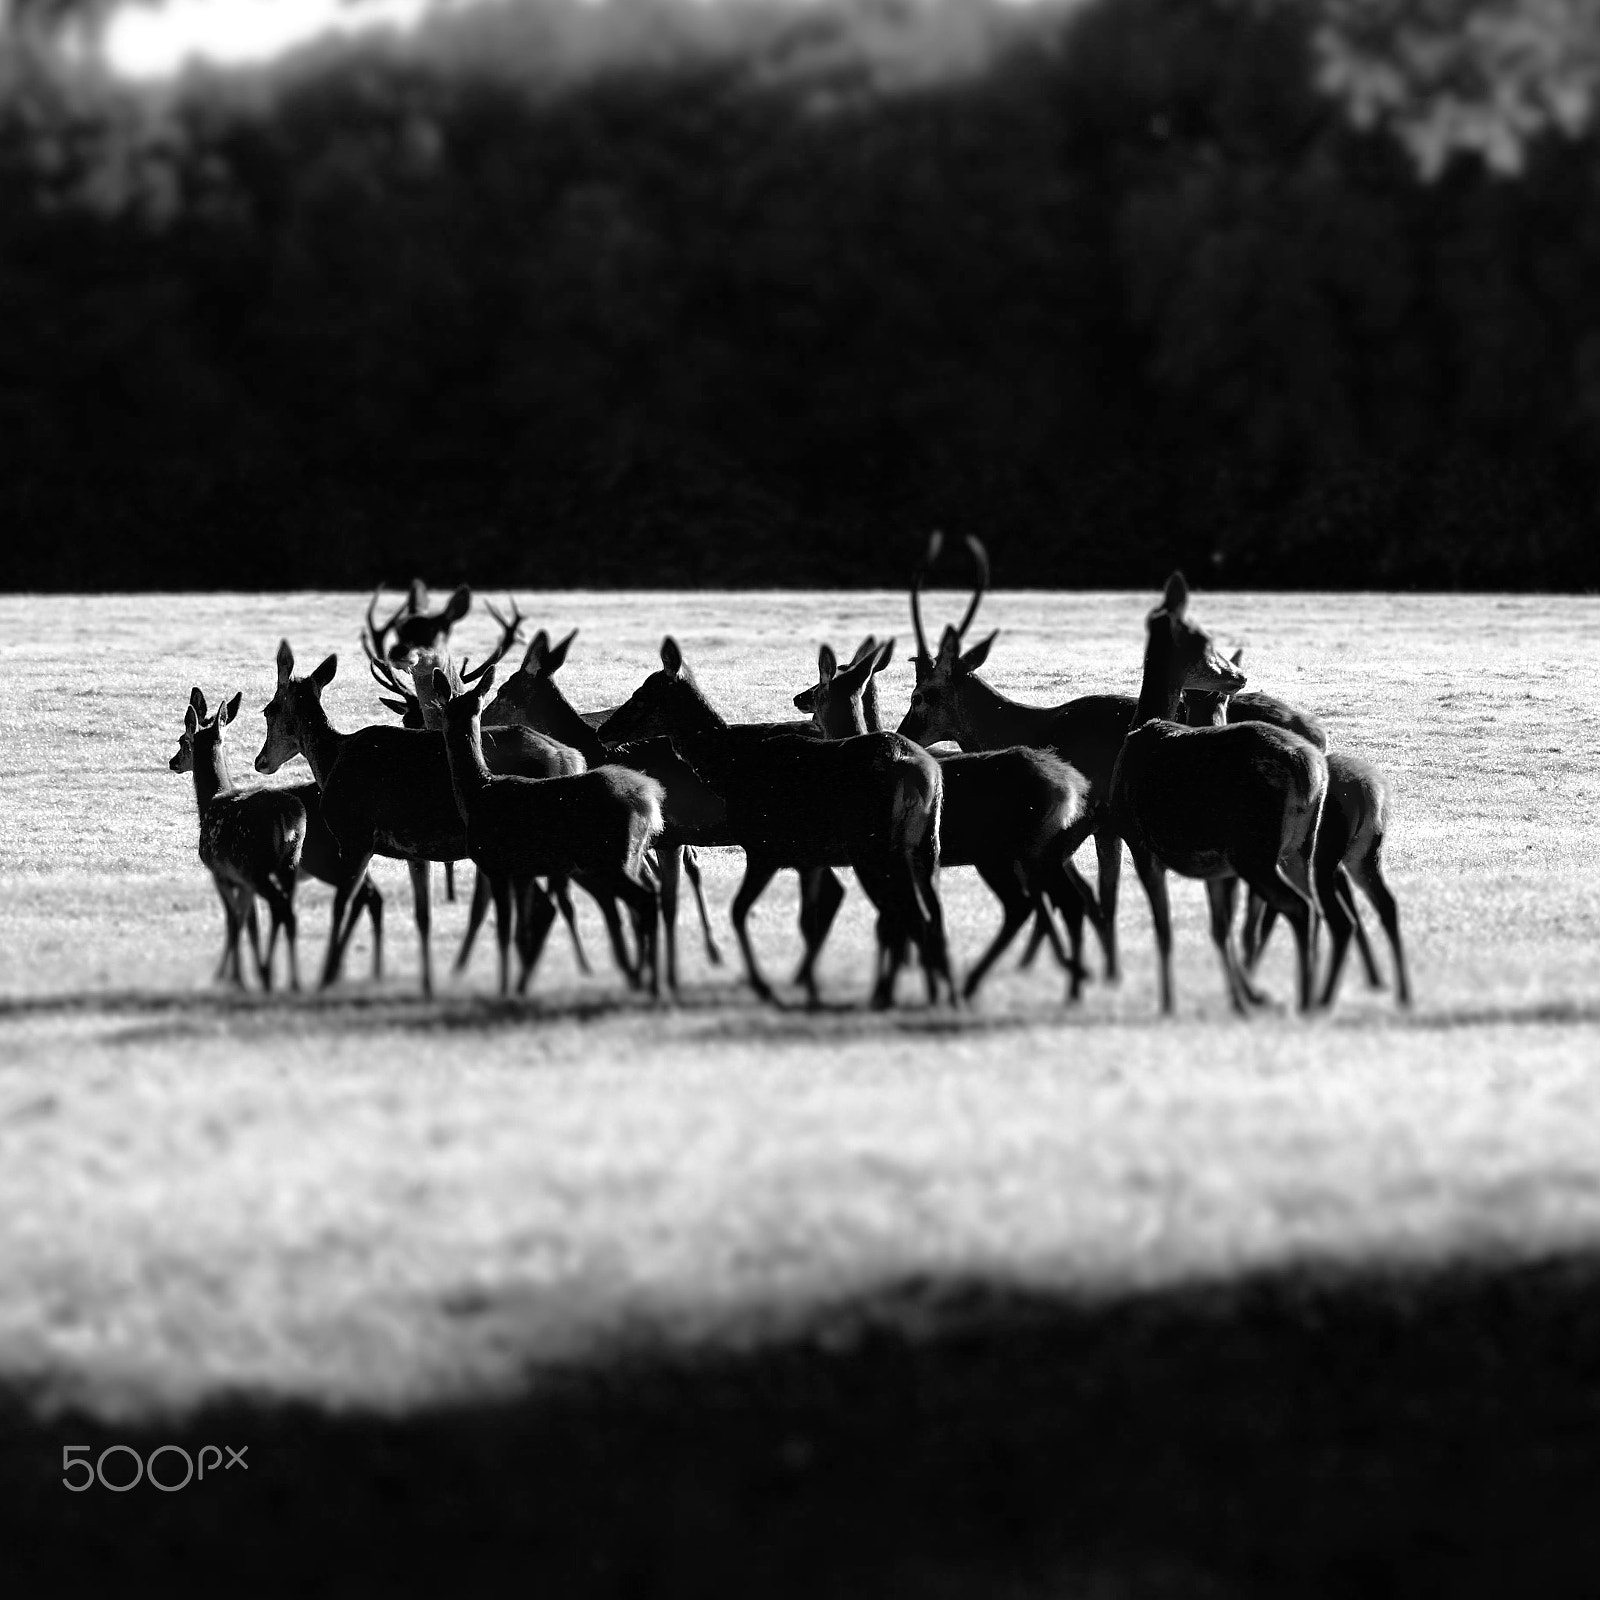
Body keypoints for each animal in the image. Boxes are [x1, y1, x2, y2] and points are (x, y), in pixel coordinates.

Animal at [171, 689, 307, 991]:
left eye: (182, 739)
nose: (172, 762)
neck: (210, 799)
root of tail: (287, 816)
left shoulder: (220, 872)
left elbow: (234, 922)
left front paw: (230, 976)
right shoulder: (241, 880)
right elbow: (249, 923)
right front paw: (236, 974)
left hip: (256, 864)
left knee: (278, 908)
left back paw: (268, 974)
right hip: (290, 864)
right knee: (290, 914)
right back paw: (291, 980)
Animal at [432, 665, 665, 998]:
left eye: (444, 709)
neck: (477, 793)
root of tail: (649, 800)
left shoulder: (495, 865)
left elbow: (504, 931)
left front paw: (504, 990)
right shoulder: (522, 873)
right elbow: (522, 932)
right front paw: (518, 987)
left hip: (611, 858)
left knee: (644, 901)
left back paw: (651, 984)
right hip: (630, 856)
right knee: (645, 900)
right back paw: (644, 979)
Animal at [601, 639, 954, 1008]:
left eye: (643, 695)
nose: (603, 731)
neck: (731, 769)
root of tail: (922, 773)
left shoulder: (764, 846)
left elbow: (739, 911)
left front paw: (765, 987)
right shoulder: (810, 857)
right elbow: (808, 920)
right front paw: (810, 992)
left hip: (874, 848)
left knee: (905, 915)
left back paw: (893, 995)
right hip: (926, 847)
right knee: (930, 914)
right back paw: (938, 993)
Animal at [794, 637, 1103, 1001]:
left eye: (818, 686)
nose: (798, 698)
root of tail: (1071, 788)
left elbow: (895, 921)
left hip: (1008, 853)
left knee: (1043, 904)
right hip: (1040, 853)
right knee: (1066, 901)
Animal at [1108, 573, 1330, 1015]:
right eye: (1207, 639)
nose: (1240, 674)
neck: (1138, 729)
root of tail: (1311, 771)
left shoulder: (1140, 842)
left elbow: (1165, 931)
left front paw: (1168, 1004)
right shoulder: (1217, 866)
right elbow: (1218, 929)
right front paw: (1243, 998)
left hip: (1253, 846)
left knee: (1298, 907)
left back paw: (1304, 999)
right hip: (1298, 846)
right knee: (1314, 906)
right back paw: (1308, 995)